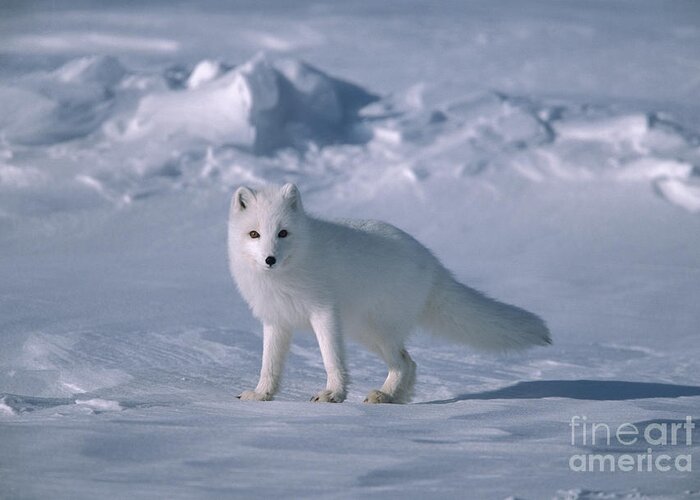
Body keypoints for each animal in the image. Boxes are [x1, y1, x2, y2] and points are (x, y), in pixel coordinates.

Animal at [230, 186, 552, 404]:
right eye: (254, 234)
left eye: (283, 233)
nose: (270, 259)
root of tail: (432, 263)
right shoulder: (276, 320)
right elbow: (269, 364)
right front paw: (262, 394)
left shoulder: (324, 312)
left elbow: (331, 358)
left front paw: (333, 394)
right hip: (365, 332)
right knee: (410, 362)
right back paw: (394, 398)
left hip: (377, 329)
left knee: (403, 362)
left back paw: (384, 396)